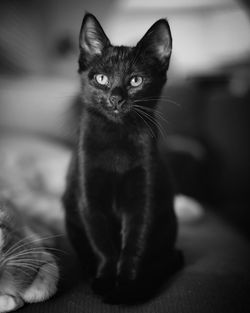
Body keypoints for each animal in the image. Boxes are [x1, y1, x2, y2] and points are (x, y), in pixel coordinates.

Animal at [63, 12, 183, 302]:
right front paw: (106, 278)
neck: (117, 139)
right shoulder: (88, 196)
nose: (116, 98)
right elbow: (103, 245)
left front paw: (127, 284)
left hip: (168, 222)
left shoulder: (144, 196)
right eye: (101, 78)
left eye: (136, 80)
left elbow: (134, 244)